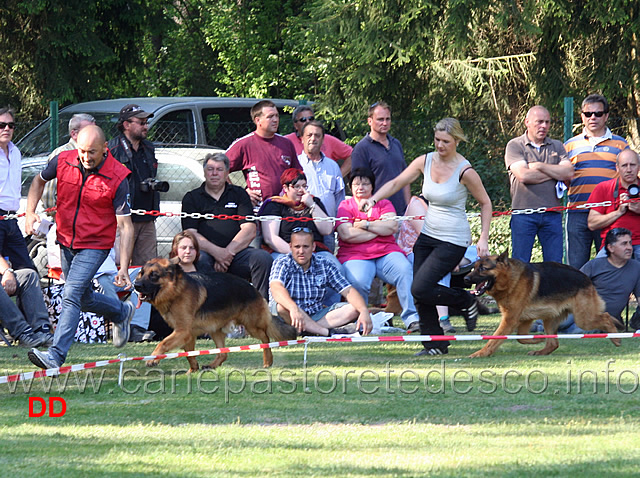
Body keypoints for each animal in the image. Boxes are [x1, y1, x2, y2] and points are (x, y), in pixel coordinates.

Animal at [134, 258, 298, 374]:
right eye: (141, 273)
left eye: (154, 275)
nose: (136, 285)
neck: (176, 290)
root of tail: (253, 288)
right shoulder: (188, 334)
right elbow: (189, 354)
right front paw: (193, 370)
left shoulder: (182, 331)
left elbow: (163, 343)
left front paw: (153, 359)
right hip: (215, 330)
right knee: (223, 353)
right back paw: (212, 365)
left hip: (252, 326)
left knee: (266, 339)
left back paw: (268, 360)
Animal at [462, 252, 624, 356]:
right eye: (474, 267)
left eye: (482, 268)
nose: (465, 279)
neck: (511, 279)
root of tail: (586, 278)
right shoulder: (524, 320)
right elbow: (521, 337)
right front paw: (538, 338)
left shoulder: (510, 320)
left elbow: (494, 339)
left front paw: (481, 353)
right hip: (550, 319)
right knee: (553, 343)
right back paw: (540, 351)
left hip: (583, 319)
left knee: (606, 316)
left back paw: (615, 338)